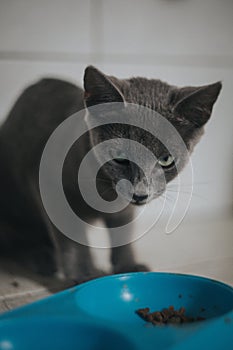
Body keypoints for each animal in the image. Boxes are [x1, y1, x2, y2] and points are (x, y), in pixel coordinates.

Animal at [0, 65, 222, 284]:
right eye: (120, 157)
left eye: (166, 159)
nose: (140, 193)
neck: (106, 190)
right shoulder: (49, 184)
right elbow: (71, 234)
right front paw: (86, 275)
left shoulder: (125, 209)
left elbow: (123, 233)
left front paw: (128, 266)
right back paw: (41, 258)